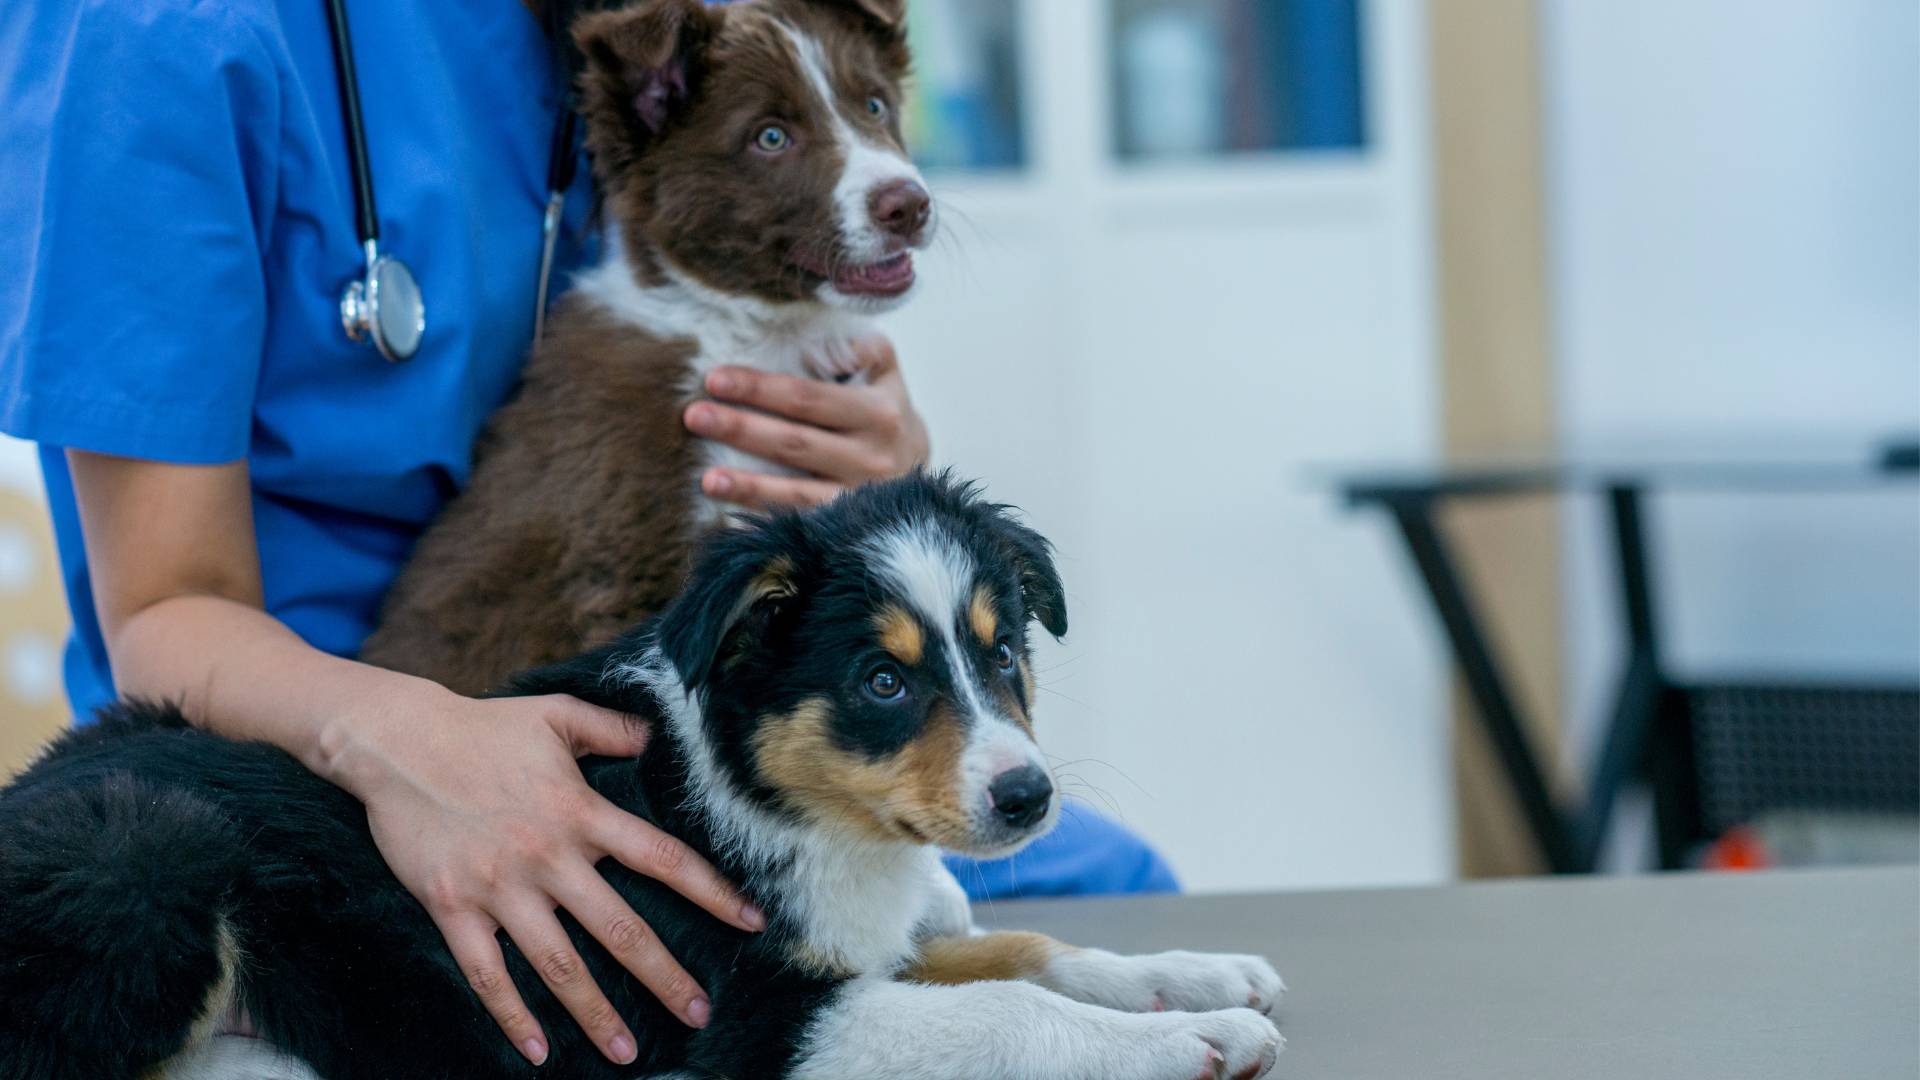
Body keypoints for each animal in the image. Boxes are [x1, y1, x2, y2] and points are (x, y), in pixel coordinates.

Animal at [7, 470, 1290, 1076]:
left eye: (1004, 652)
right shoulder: (754, 1024)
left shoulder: (855, 948)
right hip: (142, 858)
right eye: (883, 681)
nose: (1028, 799)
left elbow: (1030, 948)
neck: (781, 801)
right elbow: (1005, 1007)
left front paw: (1202, 978)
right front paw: (1194, 1045)